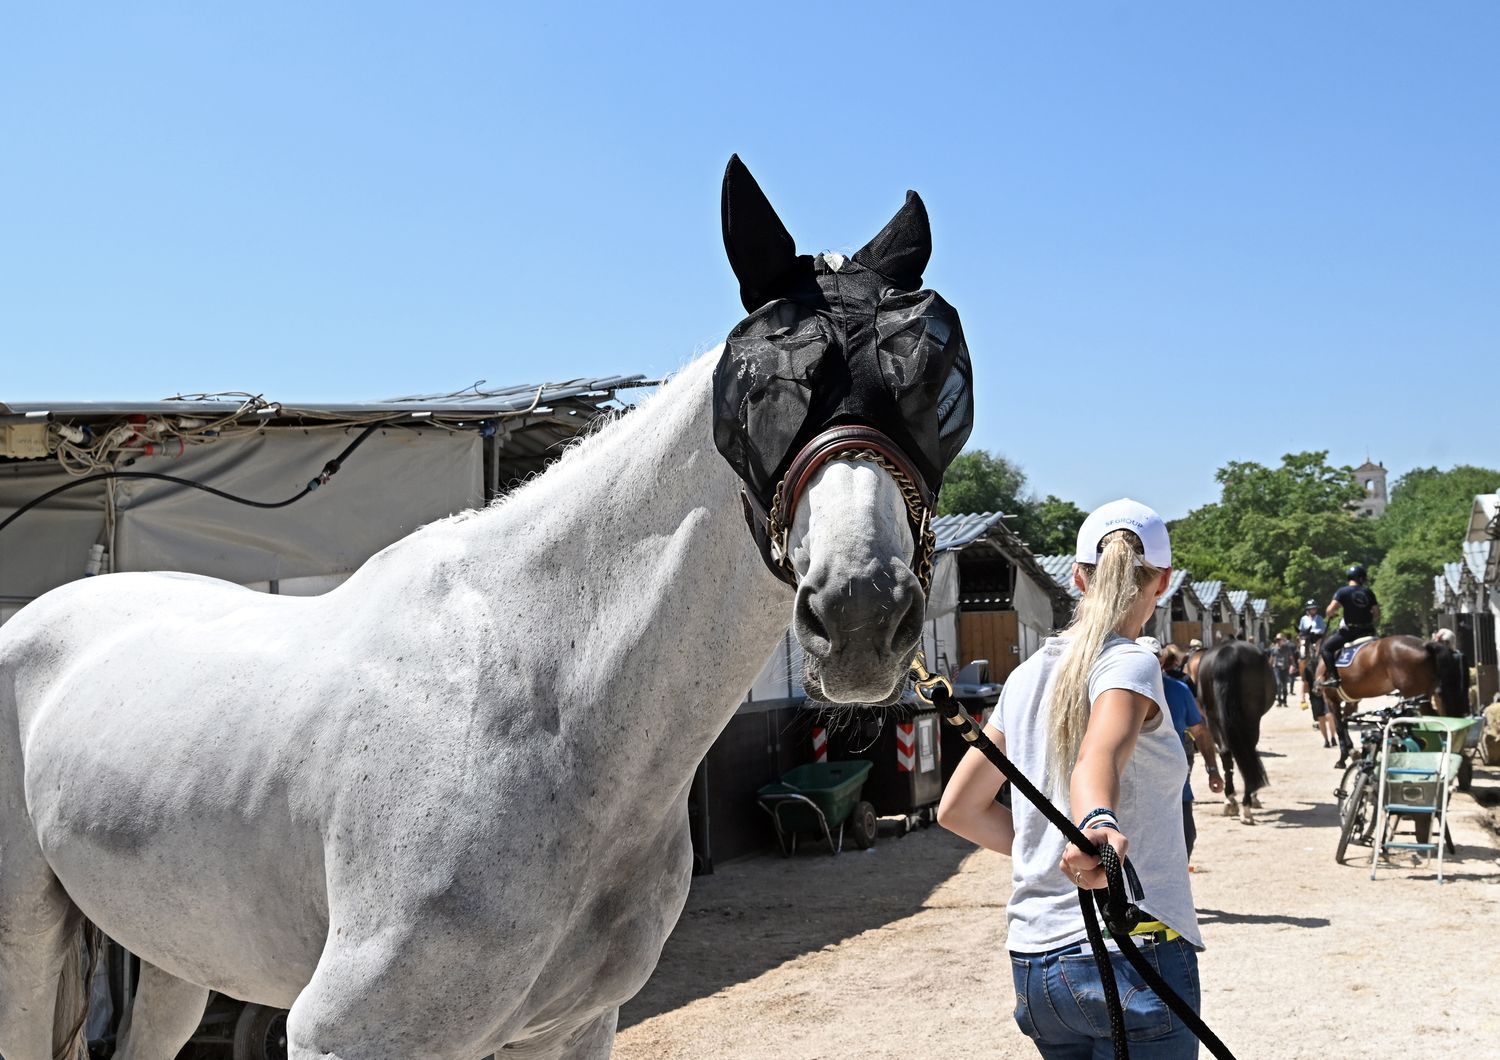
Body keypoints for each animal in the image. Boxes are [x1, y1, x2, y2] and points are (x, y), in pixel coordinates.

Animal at [0, 159, 972, 1060]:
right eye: (760, 387)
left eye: (941, 384)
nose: (859, 614)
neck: (545, 704)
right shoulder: (345, 1034)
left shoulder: (569, 1030)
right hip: (26, 947)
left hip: (176, 952)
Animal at [1188, 641, 1272, 827]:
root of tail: (1229, 653)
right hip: (1248, 718)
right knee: (1242, 752)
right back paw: (1244, 804)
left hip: (1214, 718)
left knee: (1227, 753)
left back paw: (1232, 801)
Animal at [1314, 635, 1464, 716]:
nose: (1315, 689)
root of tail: (1424, 644)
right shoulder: (1352, 702)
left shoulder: (1330, 699)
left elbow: (1340, 729)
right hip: (1423, 694)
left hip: (1414, 696)